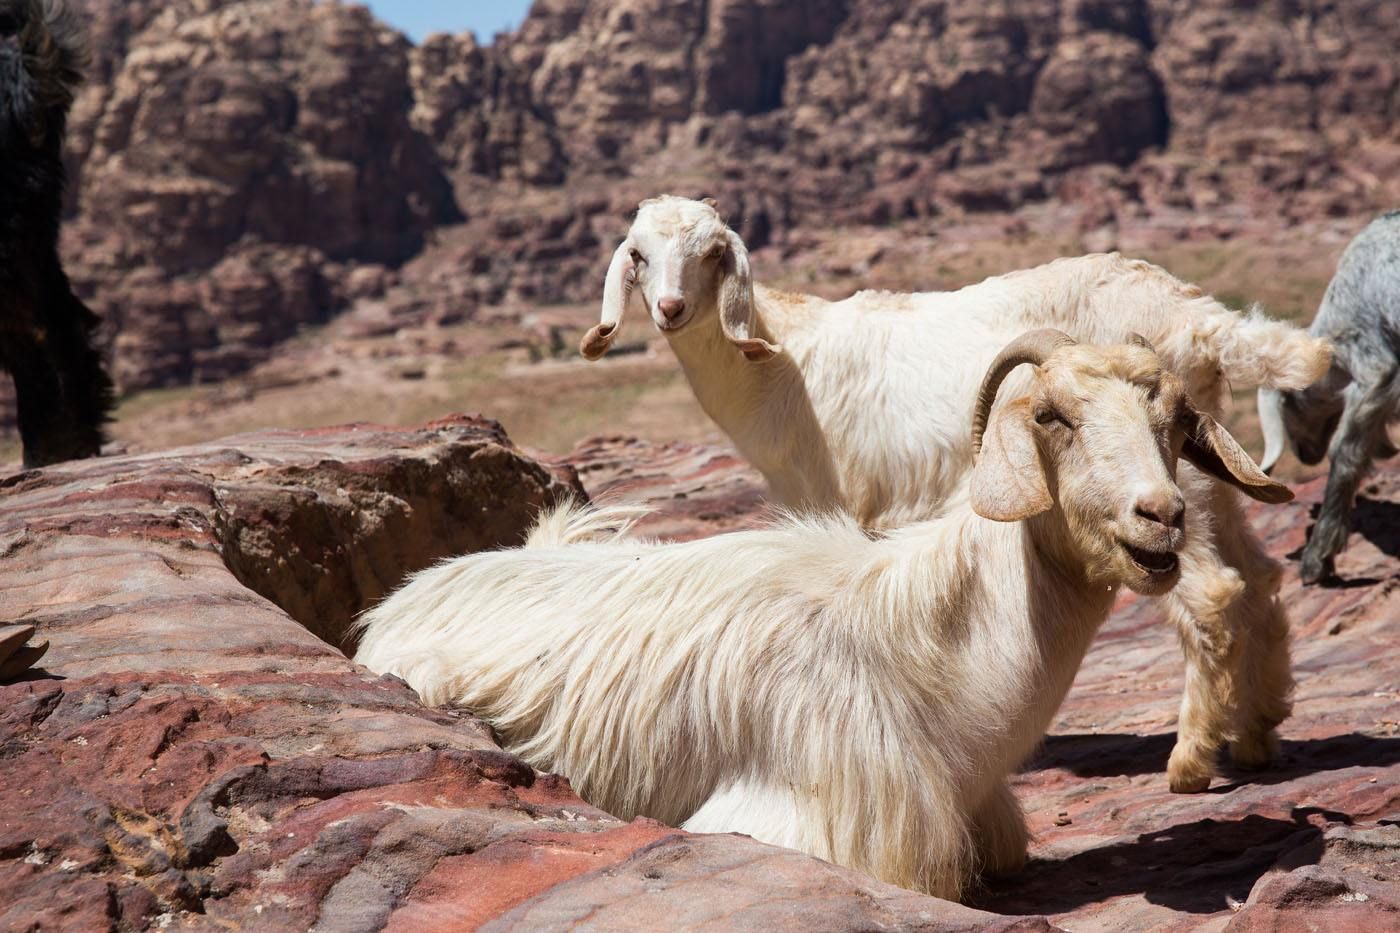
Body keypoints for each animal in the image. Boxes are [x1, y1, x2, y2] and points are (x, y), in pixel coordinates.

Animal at [358, 330, 1288, 896]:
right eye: (1052, 416)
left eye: (1176, 418)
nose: (1160, 516)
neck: (926, 652)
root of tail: (407, 593)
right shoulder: (796, 819)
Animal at [579, 196, 1332, 790]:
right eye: (639, 255)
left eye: (711, 254)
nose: (671, 308)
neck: (781, 361)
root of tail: (1203, 320)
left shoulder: (835, 504)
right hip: (1211, 473)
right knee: (1261, 575)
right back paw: (1260, 733)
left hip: (1163, 483)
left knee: (1212, 592)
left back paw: (1191, 762)